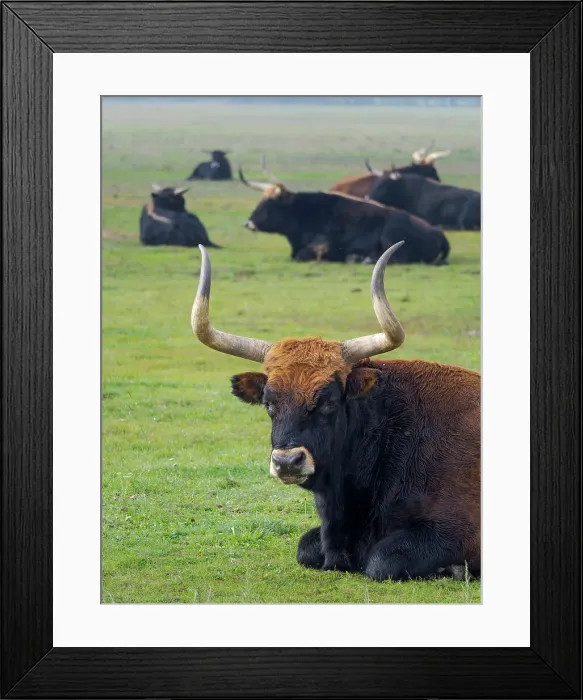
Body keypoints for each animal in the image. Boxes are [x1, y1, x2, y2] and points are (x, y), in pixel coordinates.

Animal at [191, 243, 481, 582]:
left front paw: (454, 569)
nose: (287, 461)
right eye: (268, 402)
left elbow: (382, 559)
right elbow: (305, 547)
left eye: (329, 401)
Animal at [239, 166, 450, 265]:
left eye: (269, 202)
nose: (249, 223)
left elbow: (301, 255)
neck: (304, 212)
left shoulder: (320, 246)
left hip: (392, 234)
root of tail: (438, 233)